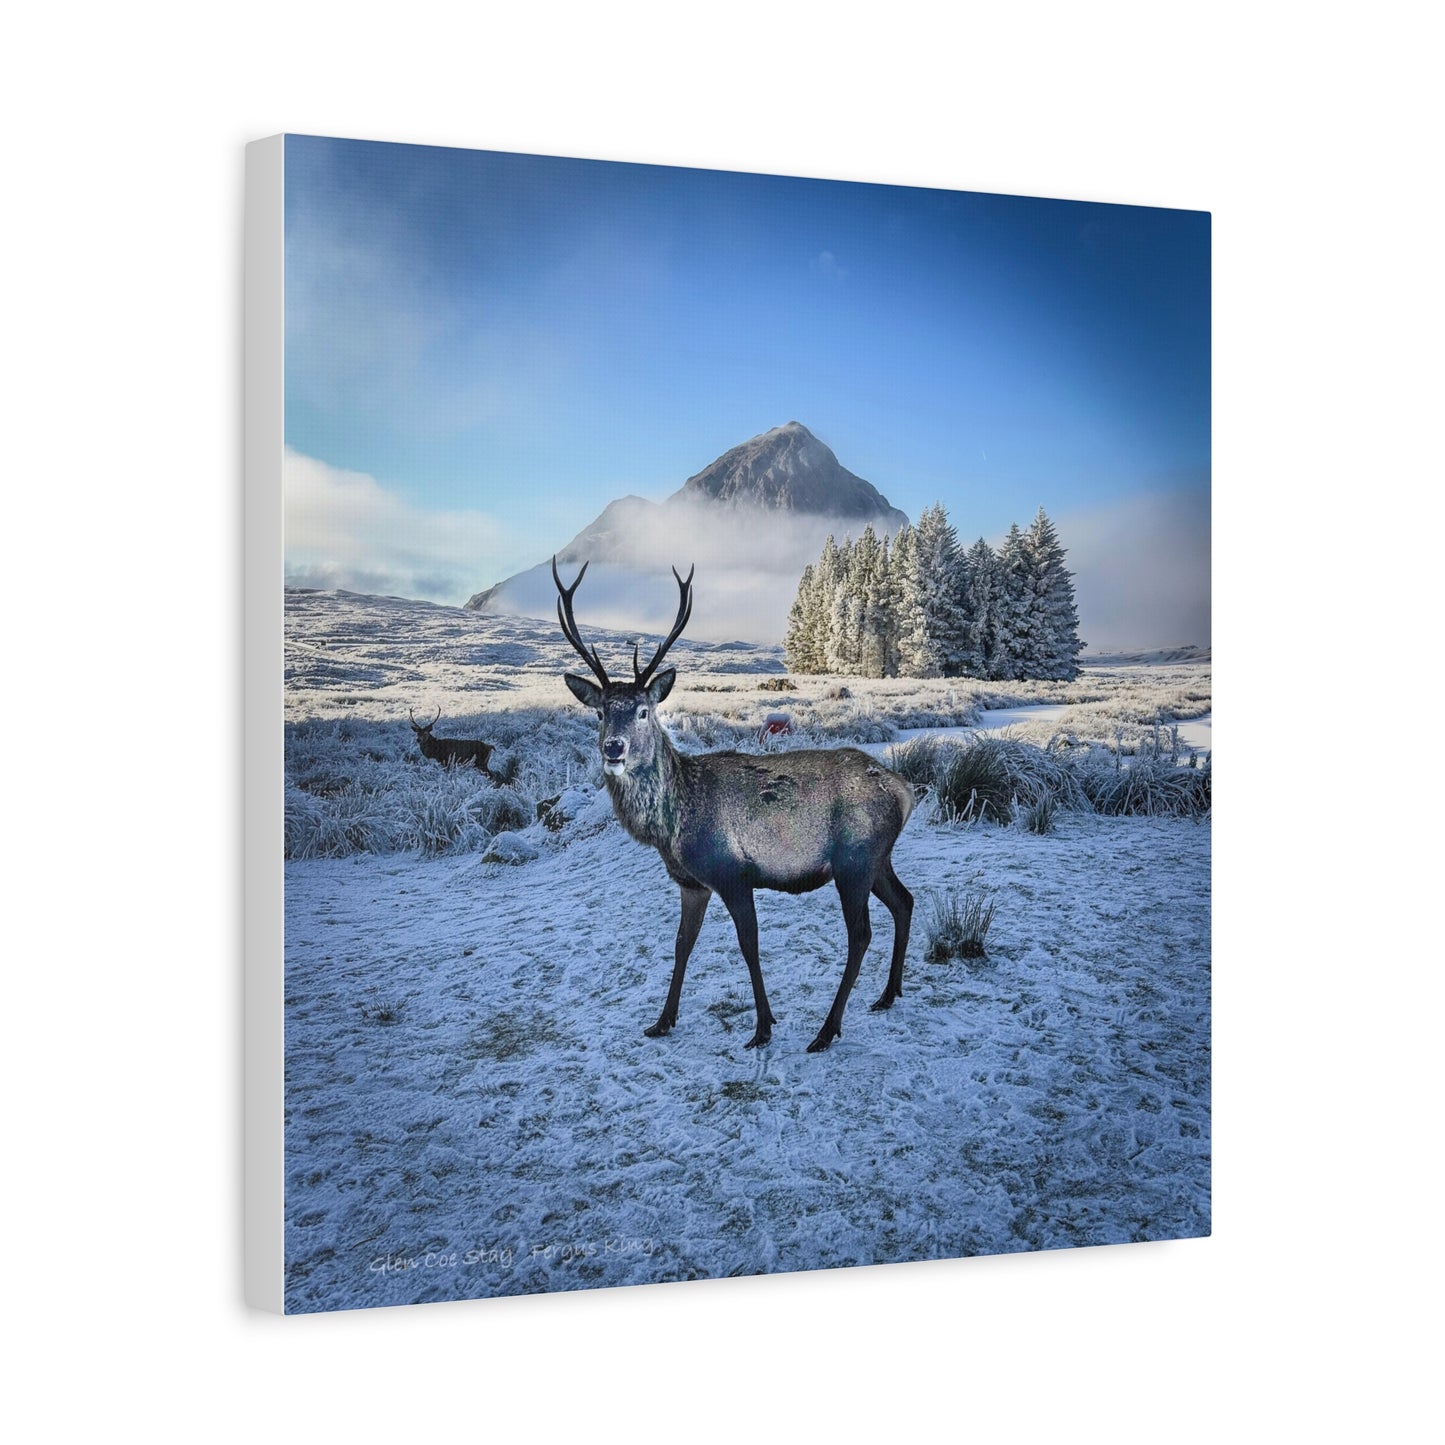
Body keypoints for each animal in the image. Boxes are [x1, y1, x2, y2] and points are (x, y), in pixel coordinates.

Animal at [554, 558, 916, 1053]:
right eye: (600, 711)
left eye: (644, 711)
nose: (614, 748)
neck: (673, 828)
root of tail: (905, 790)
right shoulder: (692, 883)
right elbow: (681, 944)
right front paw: (662, 1020)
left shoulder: (733, 873)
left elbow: (749, 944)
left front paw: (763, 1027)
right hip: (879, 858)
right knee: (905, 902)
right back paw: (888, 994)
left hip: (855, 860)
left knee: (861, 934)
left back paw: (826, 1030)